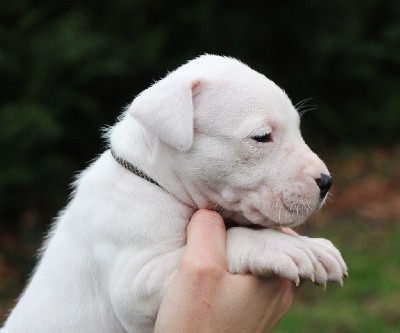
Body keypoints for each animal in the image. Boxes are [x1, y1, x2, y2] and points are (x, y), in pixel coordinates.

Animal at [1, 55, 346, 330]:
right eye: (262, 136)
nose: (327, 181)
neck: (154, 182)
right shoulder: (137, 285)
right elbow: (231, 238)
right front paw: (280, 246)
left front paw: (315, 246)